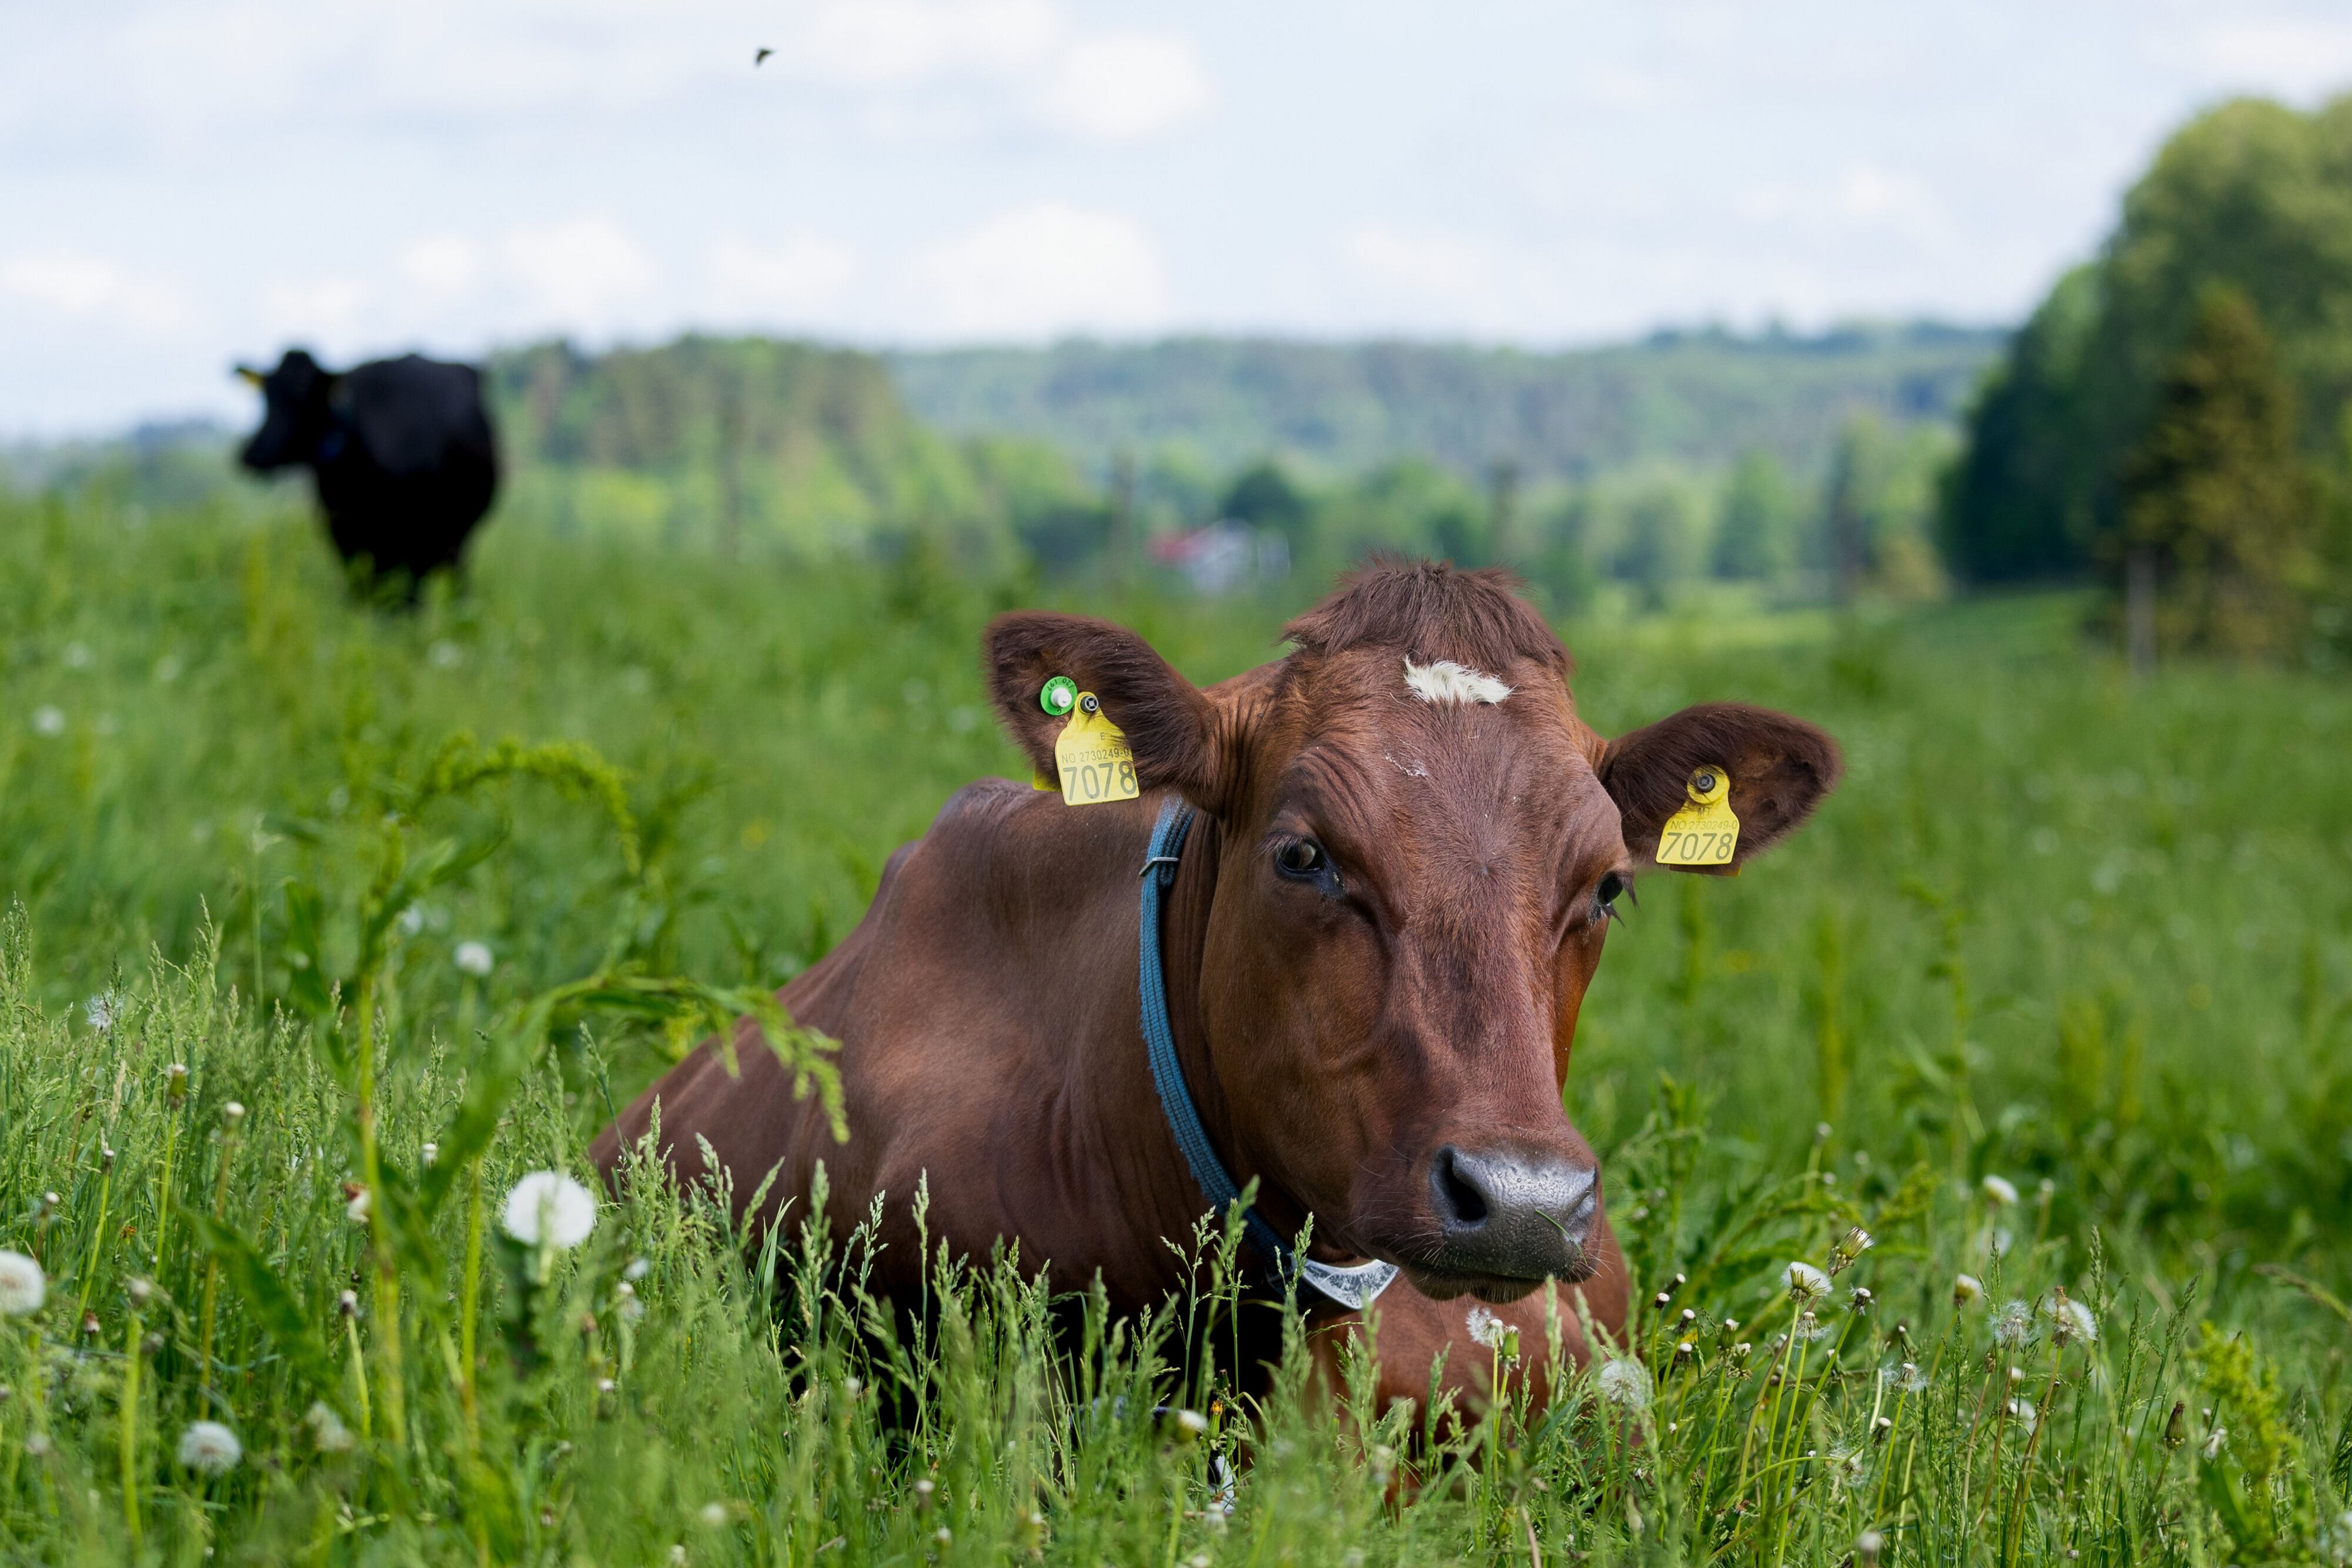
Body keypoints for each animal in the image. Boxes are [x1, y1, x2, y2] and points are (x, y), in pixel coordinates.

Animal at [236, 348, 499, 599]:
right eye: (267, 396)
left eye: (302, 397)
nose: (252, 455)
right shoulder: (344, 535)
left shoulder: (416, 537)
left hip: (456, 539)